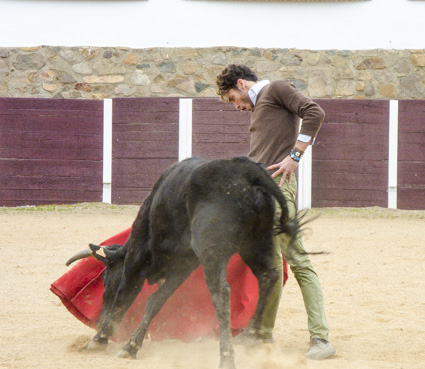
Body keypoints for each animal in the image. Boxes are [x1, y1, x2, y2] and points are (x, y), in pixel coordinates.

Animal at [65, 156, 298, 368]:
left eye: (105, 278)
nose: (97, 324)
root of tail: (248, 171)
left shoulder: (136, 256)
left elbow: (124, 296)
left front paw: (100, 339)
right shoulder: (183, 266)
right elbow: (156, 301)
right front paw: (131, 346)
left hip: (212, 251)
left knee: (222, 293)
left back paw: (226, 358)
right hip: (257, 242)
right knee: (269, 276)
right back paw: (251, 335)